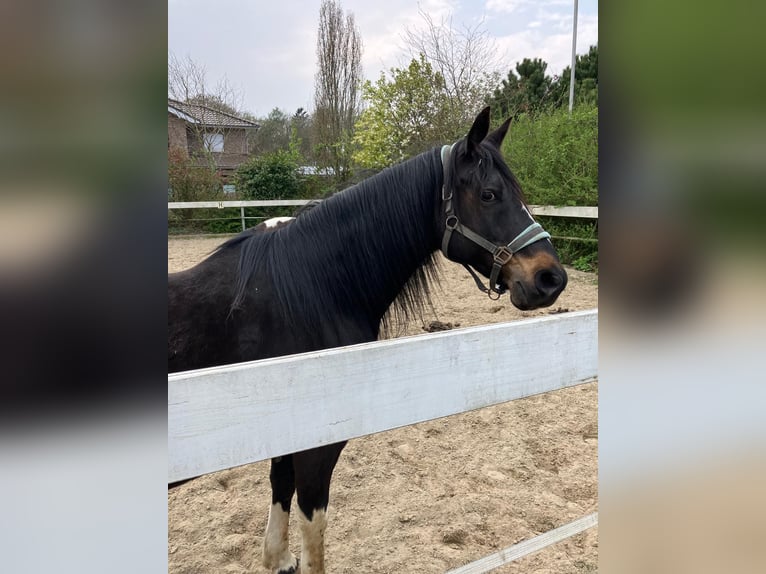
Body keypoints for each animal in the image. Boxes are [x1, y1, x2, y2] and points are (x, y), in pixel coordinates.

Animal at [168, 107, 568, 574]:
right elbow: (313, 528)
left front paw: (278, 558)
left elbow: (279, 487)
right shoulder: (315, 446)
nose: (551, 278)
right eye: (489, 195)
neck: (309, 291)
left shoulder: (286, 434)